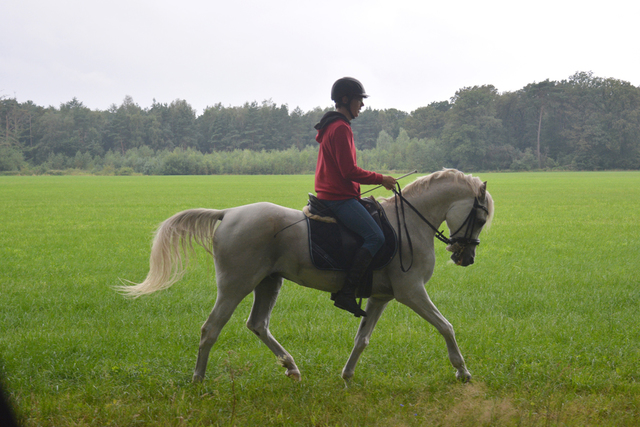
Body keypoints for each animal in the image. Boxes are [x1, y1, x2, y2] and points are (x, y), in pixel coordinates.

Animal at [120, 169, 496, 382]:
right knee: (210, 329)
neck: (411, 223)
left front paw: (346, 376)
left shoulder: (380, 297)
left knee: (257, 324)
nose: (466, 257)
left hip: (269, 282)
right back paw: (198, 380)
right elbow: (446, 326)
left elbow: (362, 339)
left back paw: (291, 366)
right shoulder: (411, 292)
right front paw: (462, 371)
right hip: (235, 286)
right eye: (480, 217)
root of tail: (228, 214)